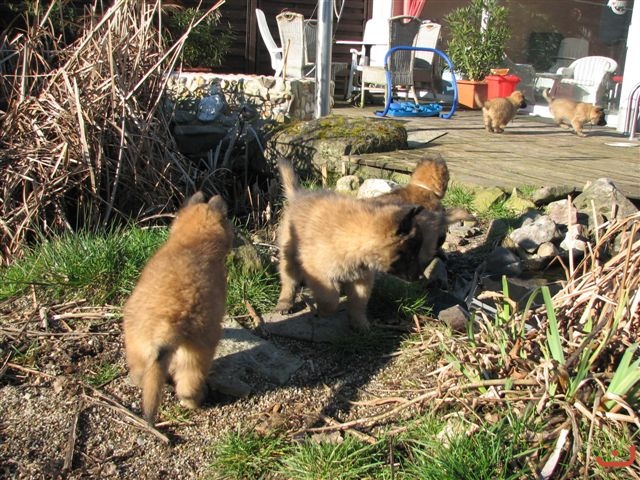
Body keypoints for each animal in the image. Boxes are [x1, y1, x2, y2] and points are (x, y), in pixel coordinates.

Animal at [123, 192, 233, 424]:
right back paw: (197, 400)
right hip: (198, 350)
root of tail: (168, 321)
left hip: (136, 343)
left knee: (142, 374)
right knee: (188, 386)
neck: (192, 240)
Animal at [276, 158, 424, 332]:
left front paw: (359, 323)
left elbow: (358, 303)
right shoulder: (316, 270)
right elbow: (330, 299)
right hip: (290, 255)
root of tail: (298, 196)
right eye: (410, 255)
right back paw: (285, 302)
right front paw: (324, 311)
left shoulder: (362, 278)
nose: (418, 278)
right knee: (289, 281)